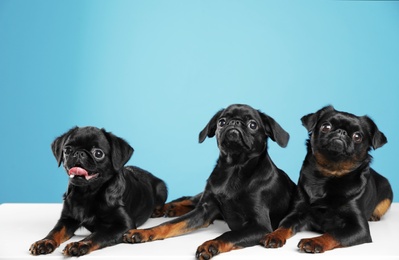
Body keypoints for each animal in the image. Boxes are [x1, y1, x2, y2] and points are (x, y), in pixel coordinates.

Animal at [30, 126, 169, 256]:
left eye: (98, 153)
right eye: (67, 150)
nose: (79, 153)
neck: (87, 193)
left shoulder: (124, 225)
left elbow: (98, 235)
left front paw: (80, 244)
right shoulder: (66, 219)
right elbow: (55, 231)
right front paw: (45, 241)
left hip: (162, 188)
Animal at [123, 104, 296, 258]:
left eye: (253, 125)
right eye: (222, 122)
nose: (235, 122)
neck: (234, 169)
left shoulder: (260, 226)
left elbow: (229, 234)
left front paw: (211, 245)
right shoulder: (204, 211)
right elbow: (170, 225)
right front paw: (144, 232)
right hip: (201, 200)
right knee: (188, 199)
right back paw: (165, 208)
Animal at [262, 105, 394, 252]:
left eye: (357, 136)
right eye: (326, 127)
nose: (341, 132)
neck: (330, 174)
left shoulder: (359, 228)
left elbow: (334, 234)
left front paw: (314, 241)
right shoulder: (296, 212)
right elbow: (284, 225)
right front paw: (274, 235)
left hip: (387, 192)